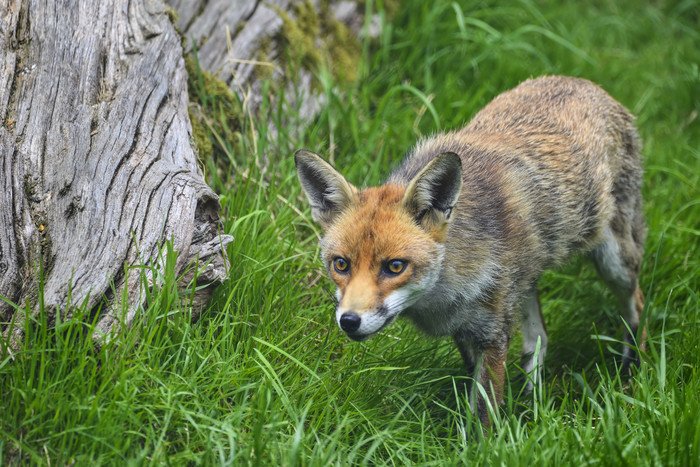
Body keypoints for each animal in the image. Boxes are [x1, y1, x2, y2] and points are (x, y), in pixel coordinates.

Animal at [294, 76, 644, 428]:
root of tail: (582, 82)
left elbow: (483, 415)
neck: (443, 293)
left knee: (637, 303)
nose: (349, 321)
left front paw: (488, 440)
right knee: (538, 338)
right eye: (341, 264)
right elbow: (473, 395)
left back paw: (631, 371)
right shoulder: (465, 331)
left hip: (615, 263)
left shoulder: (493, 334)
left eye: (394, 267)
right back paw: (530, 406)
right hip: (525, 284)